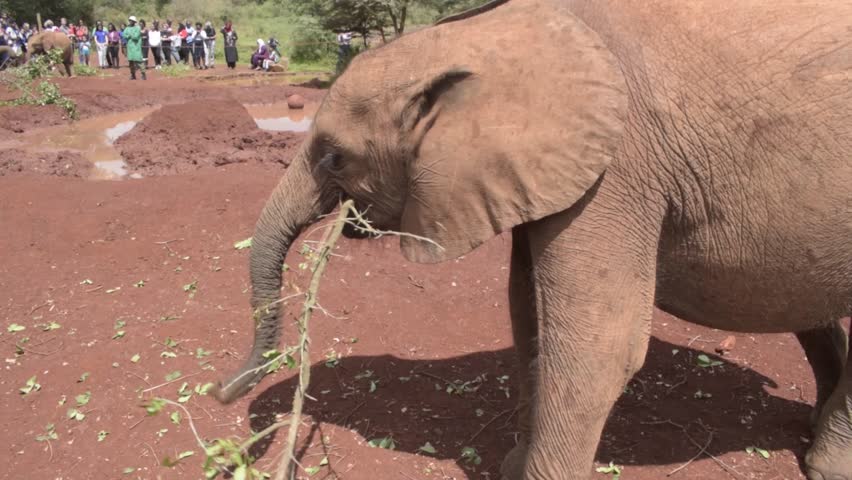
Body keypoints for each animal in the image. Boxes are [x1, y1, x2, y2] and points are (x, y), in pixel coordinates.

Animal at [211, 0, 852, 478]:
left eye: (334, 157)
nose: (220, 391)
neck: (480, 34)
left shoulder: (618, 169)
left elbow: (598, 351)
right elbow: (527, 318)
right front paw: (512, 466)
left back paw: (825, 463)